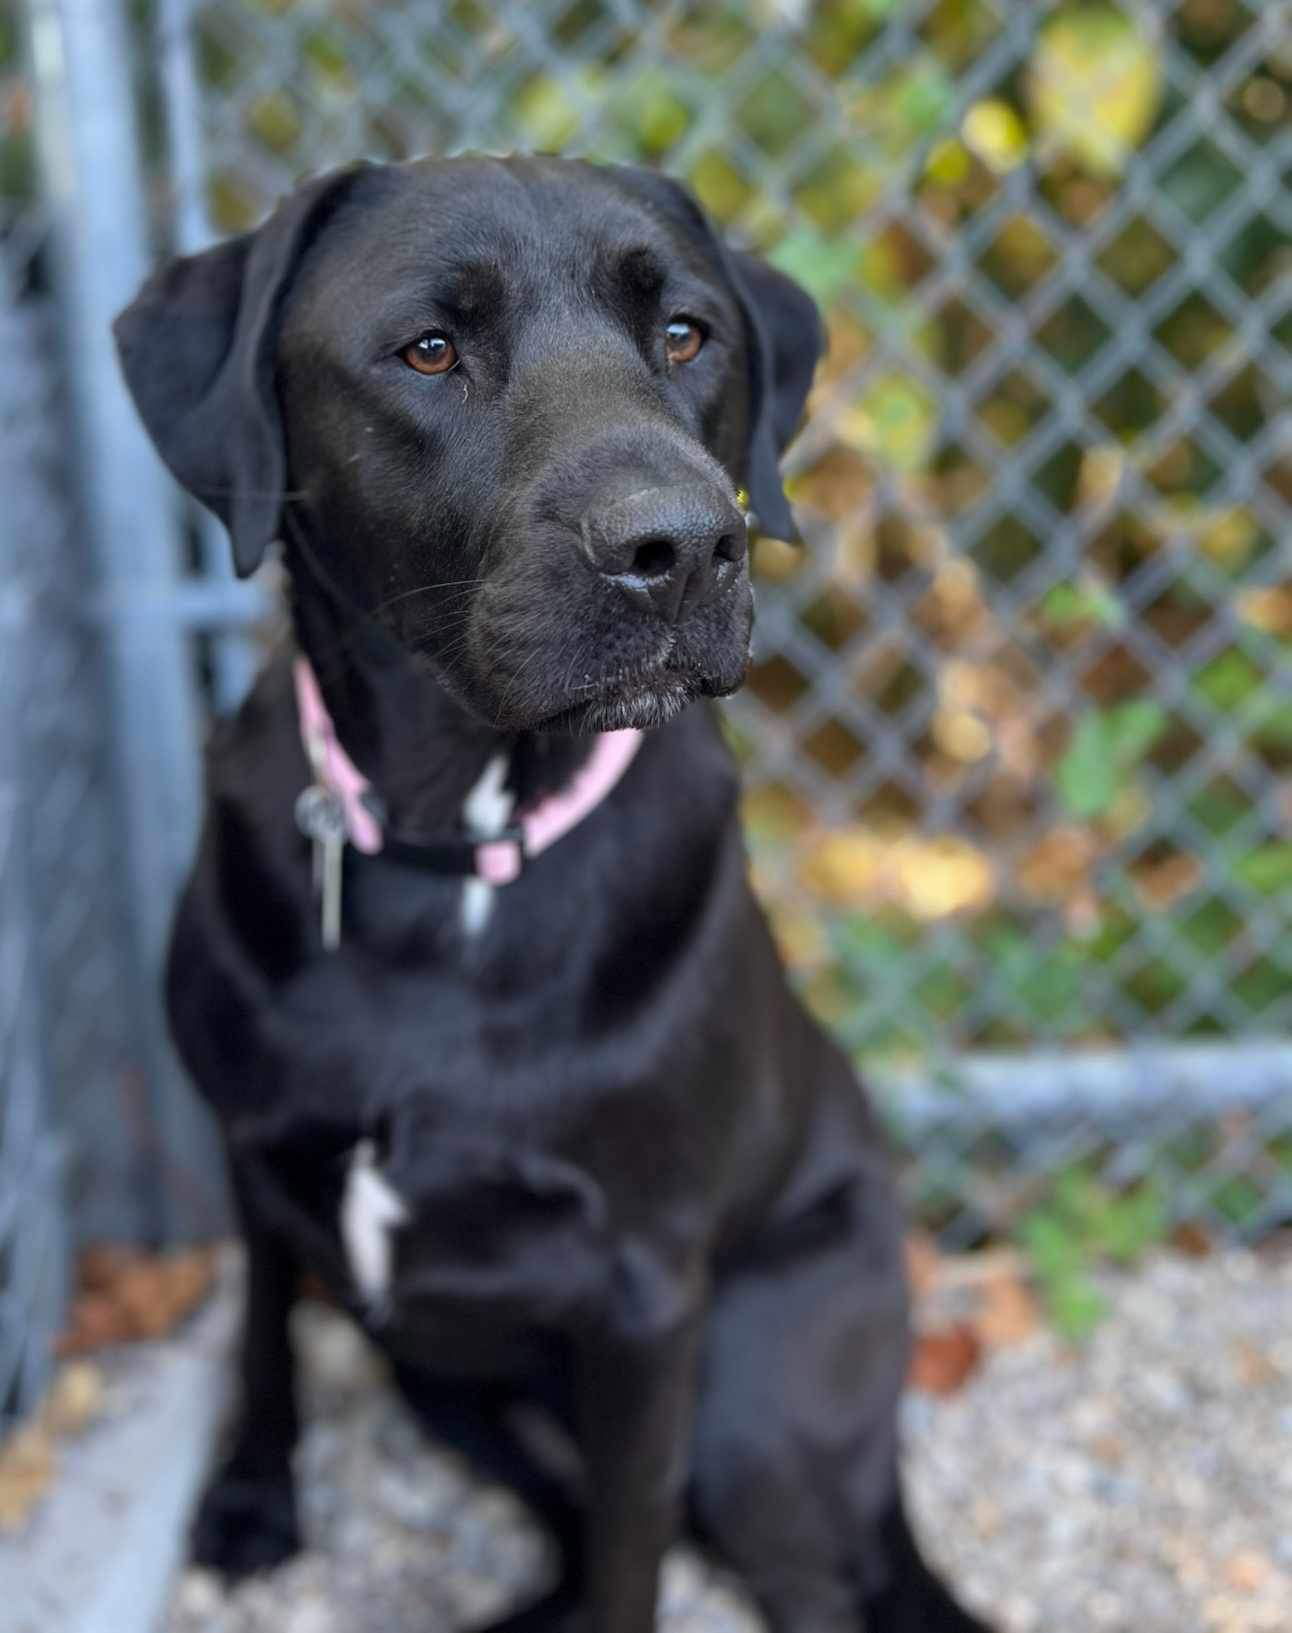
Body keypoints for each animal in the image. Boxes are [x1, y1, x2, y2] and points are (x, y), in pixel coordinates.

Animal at [118, 155, 993, 1633]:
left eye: (686, 334)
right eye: (428, 348)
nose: (685, 546)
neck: (456, 851)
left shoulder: (642, 1299)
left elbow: (635, 1552)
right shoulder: (249, 1153)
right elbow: (260, 1340)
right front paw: (249, 1500)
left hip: (758, 1406)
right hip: (442, 1378)